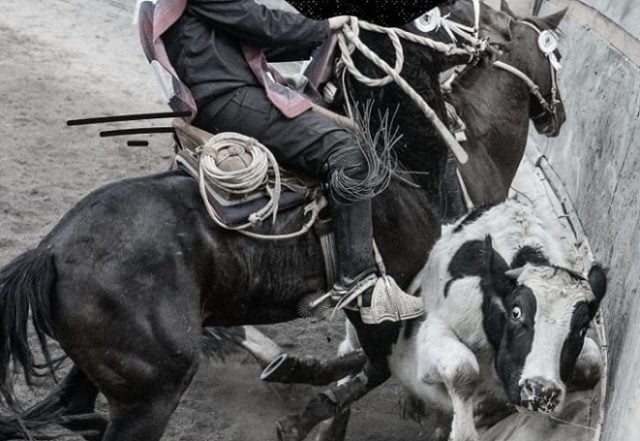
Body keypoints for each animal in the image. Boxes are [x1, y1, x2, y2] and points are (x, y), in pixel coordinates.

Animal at [0, 3, 476, 440]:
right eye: (432, 17)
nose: (484, 40)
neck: (399, 165)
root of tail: (50, 254)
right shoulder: (379, 300)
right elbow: (376, 366)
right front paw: (301, 412)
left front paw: (295, 372)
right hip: (153, 390)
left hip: (105, 374)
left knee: (74, 411)